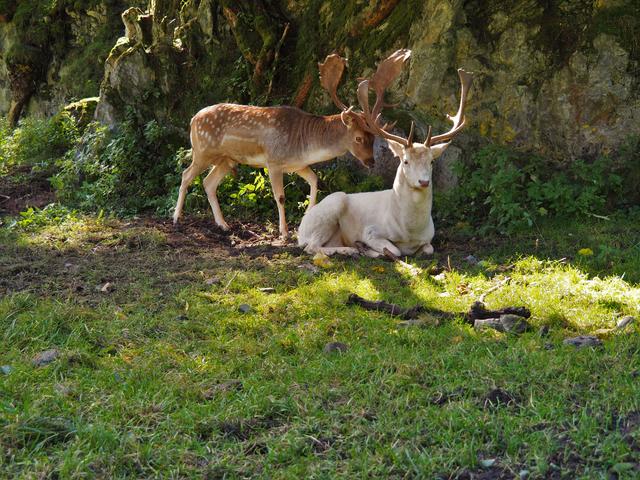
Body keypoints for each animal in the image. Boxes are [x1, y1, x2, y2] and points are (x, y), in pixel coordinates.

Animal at [172, 52, 403, 239]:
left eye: (373, 138)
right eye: (358, 138)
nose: (371, 161)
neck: (303, 145)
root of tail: (193, 119)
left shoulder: (297, 165)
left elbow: (315, 181)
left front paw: (307, 218)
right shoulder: (274, 162)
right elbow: (281, 197)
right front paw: (283, 233)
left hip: (226, 159)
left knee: (208, 182)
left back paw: (223, 225)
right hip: (202, 151)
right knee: (186, 174)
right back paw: (176, 218)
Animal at [298, 52, 473, 258]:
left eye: (431, 161)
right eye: (405, 161)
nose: (423, 181)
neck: (409, 232)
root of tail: (300, 230)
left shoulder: (429, 238)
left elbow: (428, 249)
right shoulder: (371, 231)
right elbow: (394, 250)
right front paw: (368, 249)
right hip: (332, 206)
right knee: (311, 246)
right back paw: (349, 249)